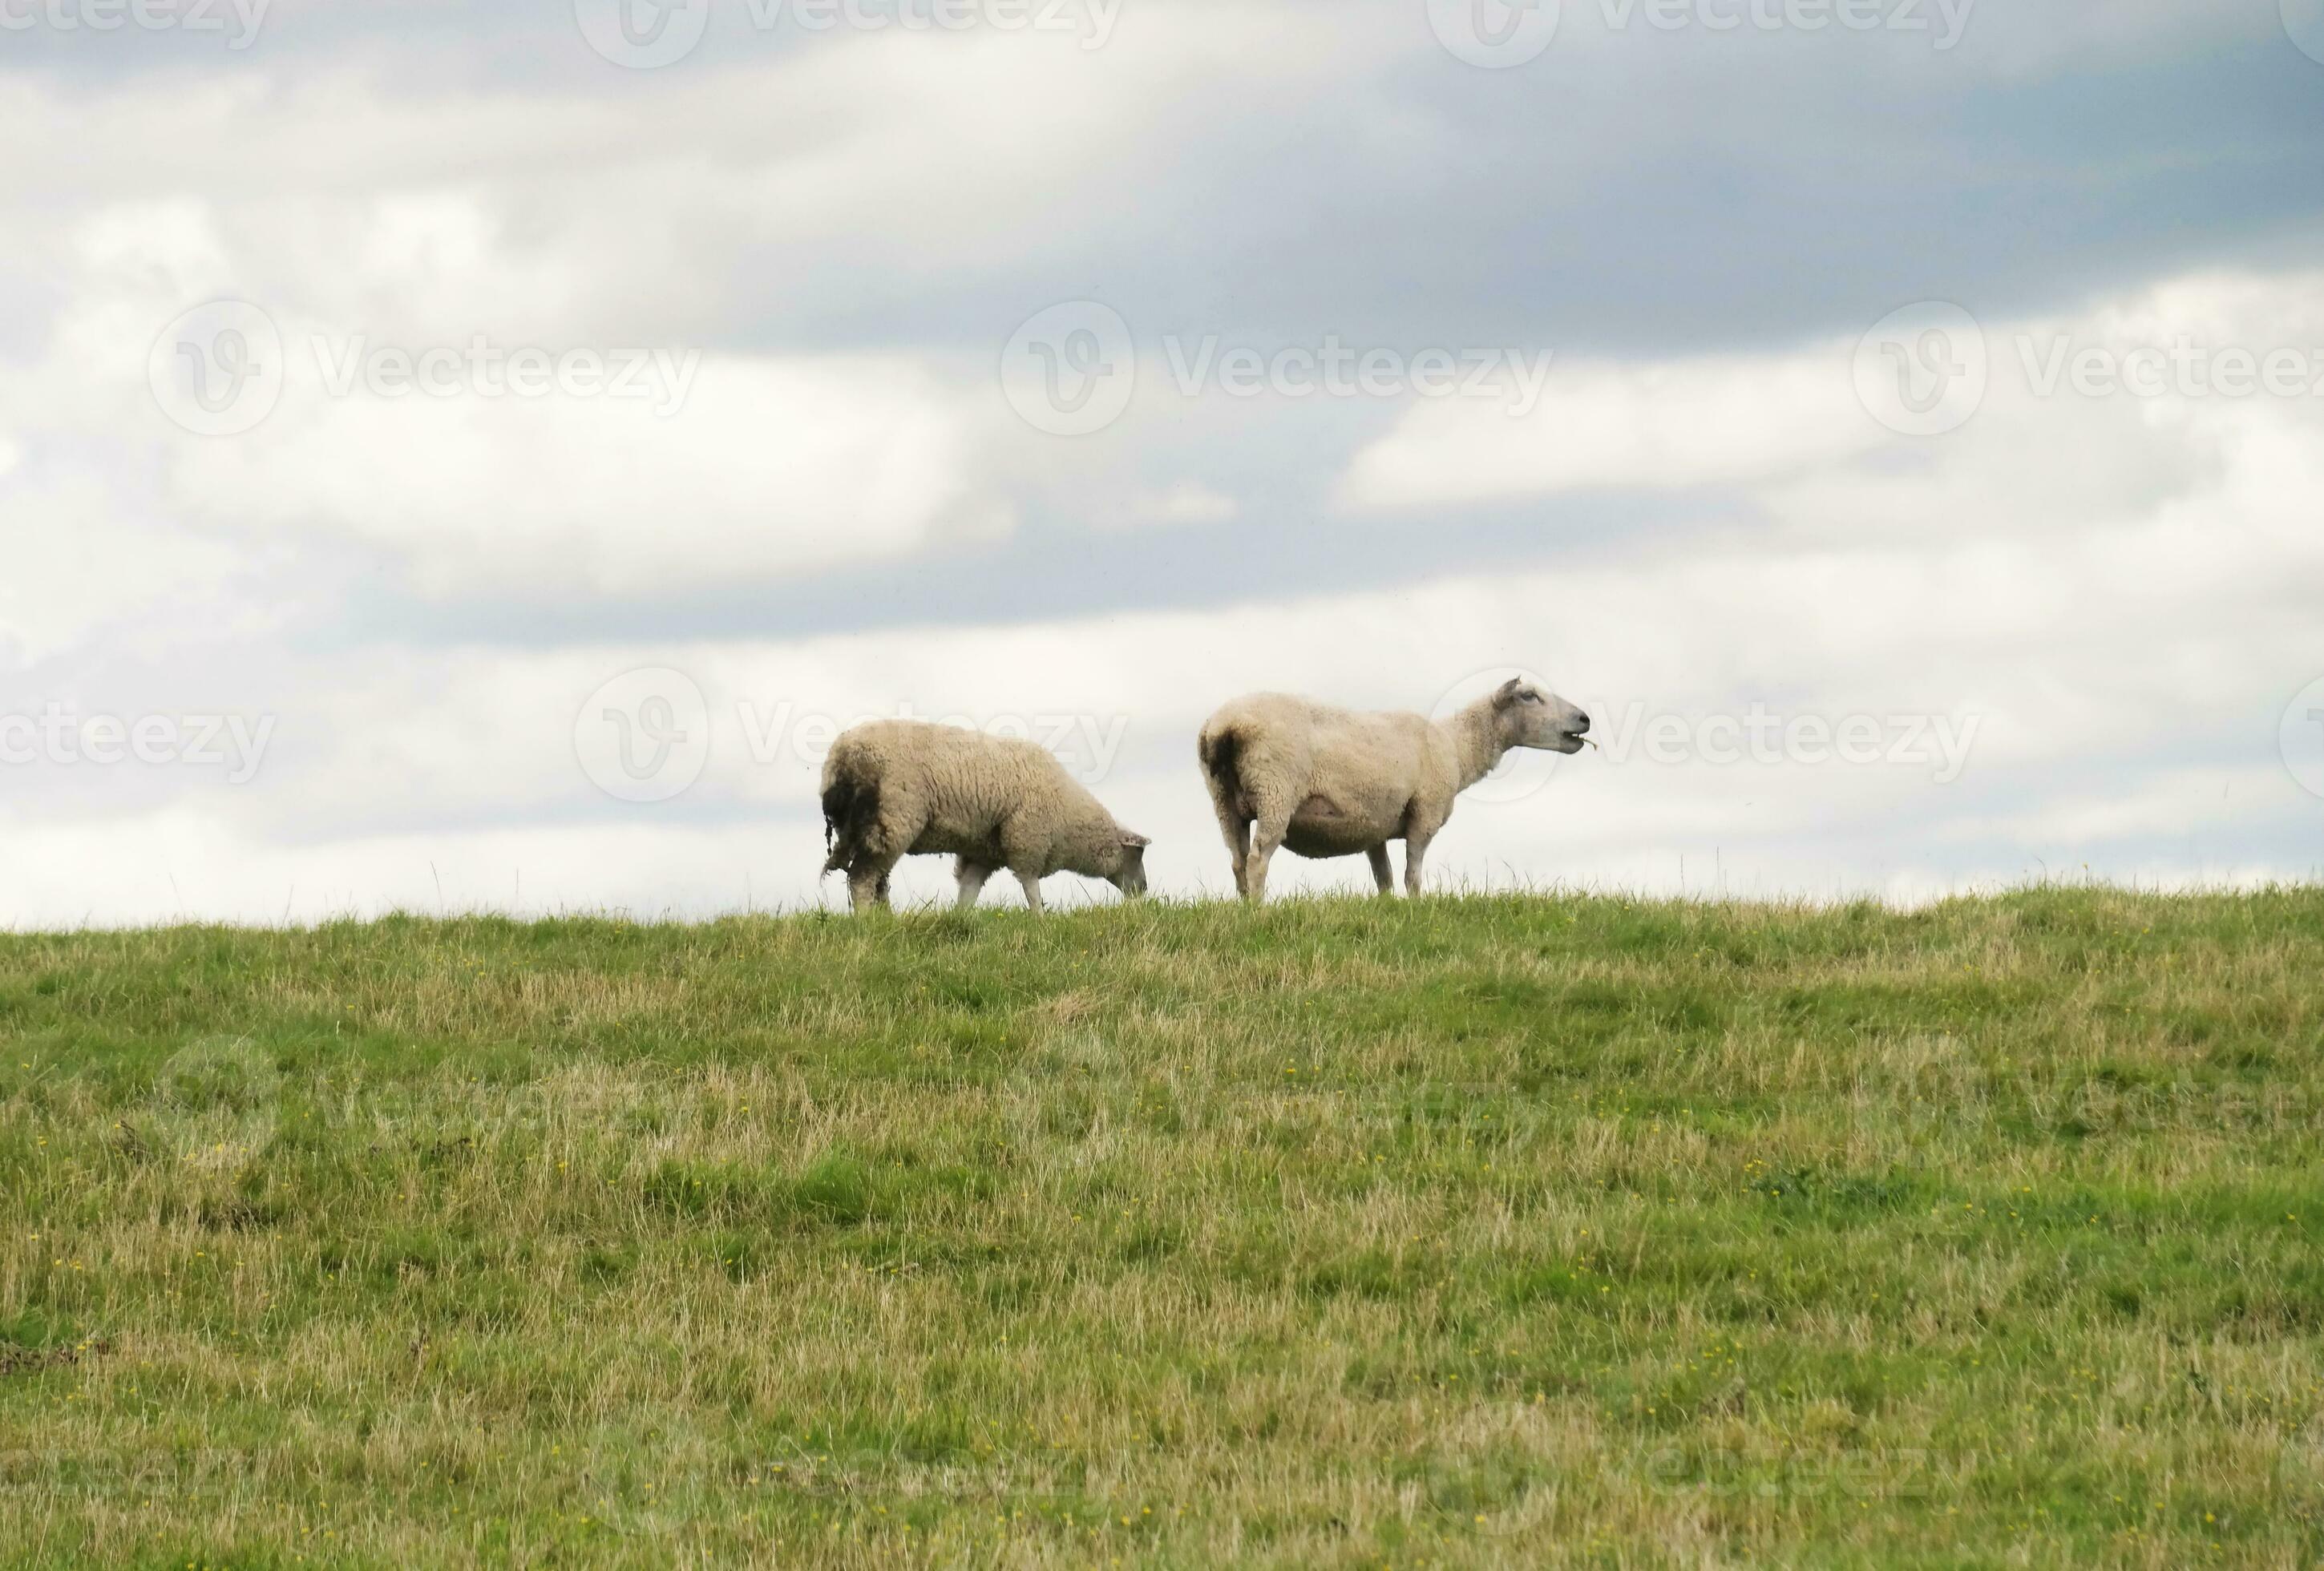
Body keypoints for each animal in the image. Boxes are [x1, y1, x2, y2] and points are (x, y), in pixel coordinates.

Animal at [820, 719, 1150, 913]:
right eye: (1137, 855)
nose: (1144, 891)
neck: (1069, 820)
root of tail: (840, 759)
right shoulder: (1026, 840)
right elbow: (1031, 887)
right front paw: (1040, 920)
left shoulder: (983, 853)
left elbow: (969, 890)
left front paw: (961, 920)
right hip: (892, 819)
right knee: (863, 879)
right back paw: (867, 922)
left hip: (864, 828)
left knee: (877, 880)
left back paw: (886, 919)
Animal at [1197, 678, 1590, 902]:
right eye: (1529, 696)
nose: (1585, 719)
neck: (1457, 746)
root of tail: (1224, 727)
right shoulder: (1425, 813)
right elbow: (1411, 875)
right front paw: (1417, 908)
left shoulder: (1374, 828)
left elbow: (1383, 878)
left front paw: (1388, 911)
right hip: (1275, 790)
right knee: (1258, 860)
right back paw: (1261, 912)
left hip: (1224, 800)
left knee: (1238, 861)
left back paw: (1244, 910)